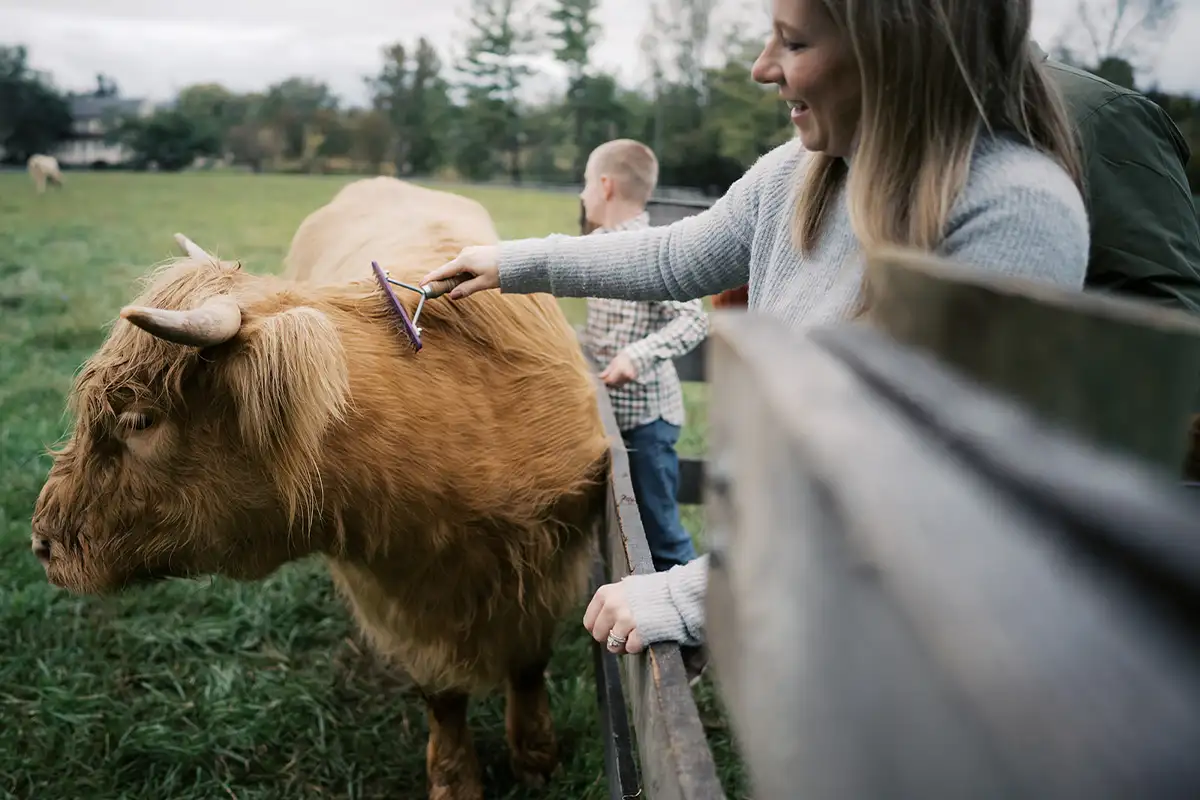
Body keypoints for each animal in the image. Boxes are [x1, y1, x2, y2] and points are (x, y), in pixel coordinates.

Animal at [30, 176, 612, 800]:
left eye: (139, 420)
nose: (43, 543)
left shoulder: (553, 562)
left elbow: (529, 665)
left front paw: (536, 757)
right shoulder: (398, 600)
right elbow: (443, 696)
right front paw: (456, 780)